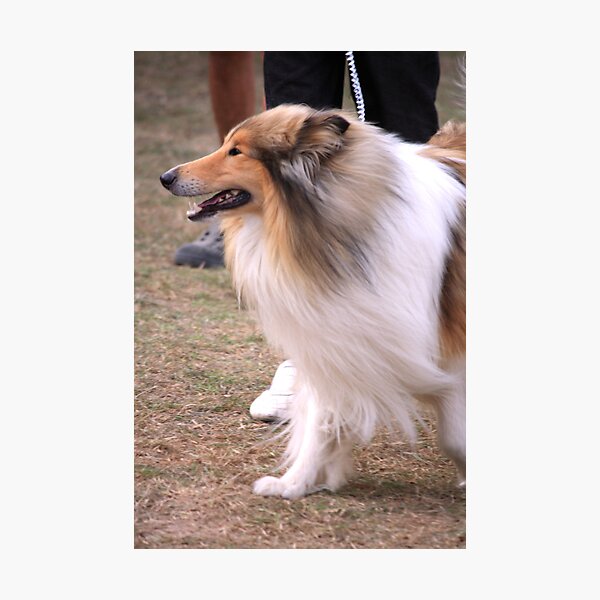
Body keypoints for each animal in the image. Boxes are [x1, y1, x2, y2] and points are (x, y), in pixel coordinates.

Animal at [162, 105, 466, 500]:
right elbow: (322, 421)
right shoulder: (339, 337)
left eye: (236, 151)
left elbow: (454, 433)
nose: (166, 177)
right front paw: (294, 483)